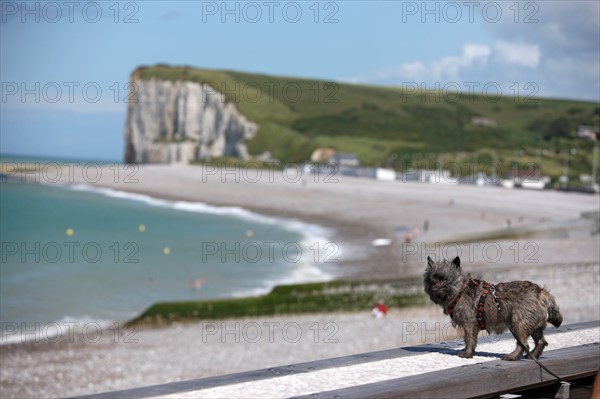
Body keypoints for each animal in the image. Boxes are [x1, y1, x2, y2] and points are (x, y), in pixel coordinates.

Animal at [422, 256, 564, 362]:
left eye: (444, 279)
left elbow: (469, 339)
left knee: (524, 343)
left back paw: (512, 356)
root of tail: (540, 292)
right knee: (541, 341)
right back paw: (531, 356)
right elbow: (468, 339)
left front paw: (467, 353)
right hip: (533, 326)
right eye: (430, 280)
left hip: (518, 324)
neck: (459, 291)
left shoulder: (469, 323)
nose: (434, 290)